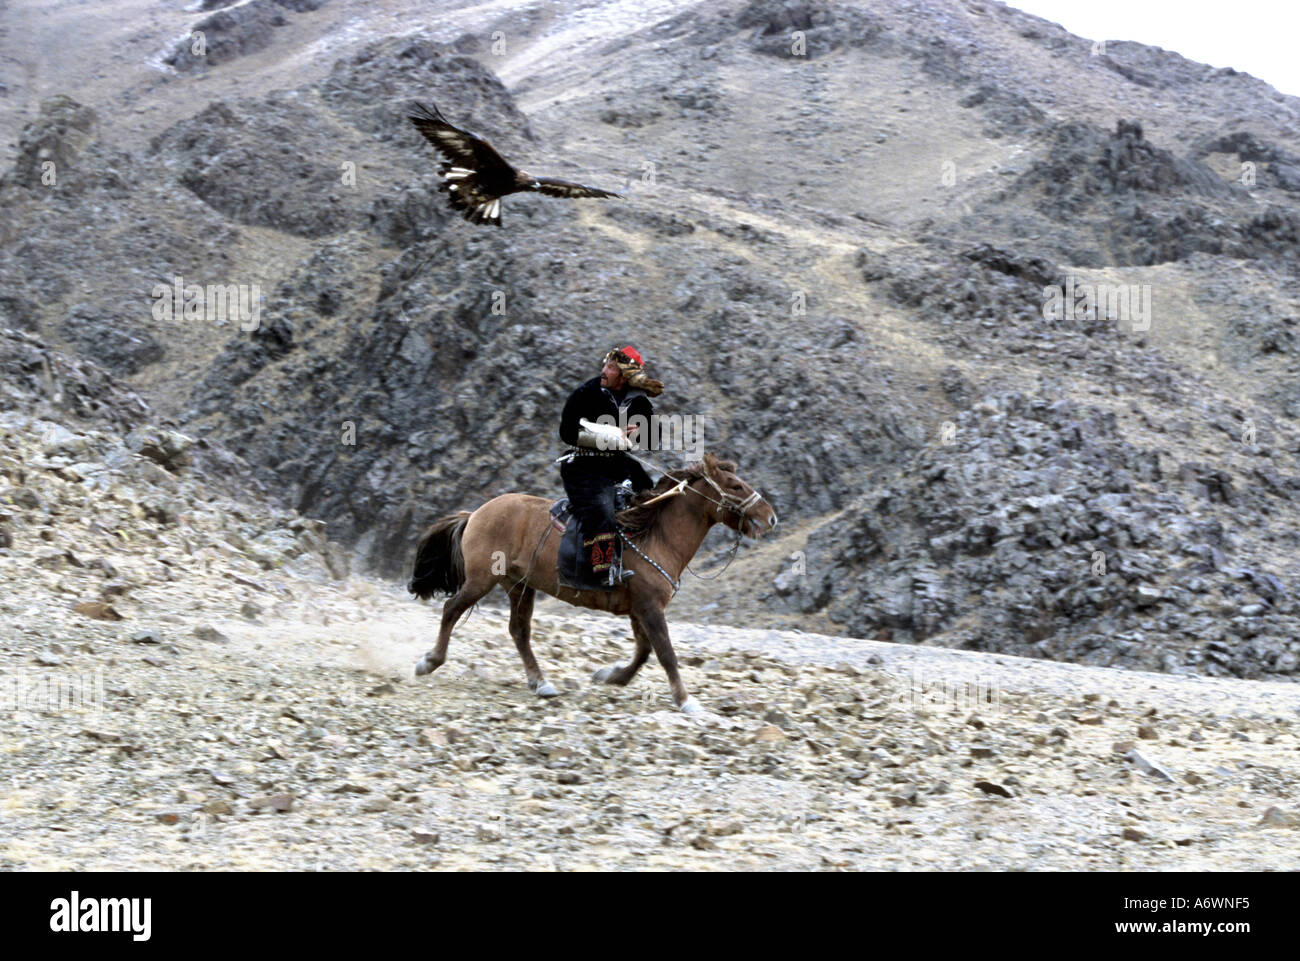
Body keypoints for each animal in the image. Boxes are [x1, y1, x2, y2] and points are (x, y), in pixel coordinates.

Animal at [408, 452, 769, 712]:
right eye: (735, 485)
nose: (769, 516)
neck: (655, 535)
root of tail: (476, 514)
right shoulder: (649, 606)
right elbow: (665, 652)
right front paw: (685, 700)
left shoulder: (639, 608)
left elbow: (644, 651)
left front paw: (612, 676)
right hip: (482, 579)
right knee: (451, 609)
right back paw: (429, 661)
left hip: (518, 586)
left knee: (519, 631)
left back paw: (540, 682)